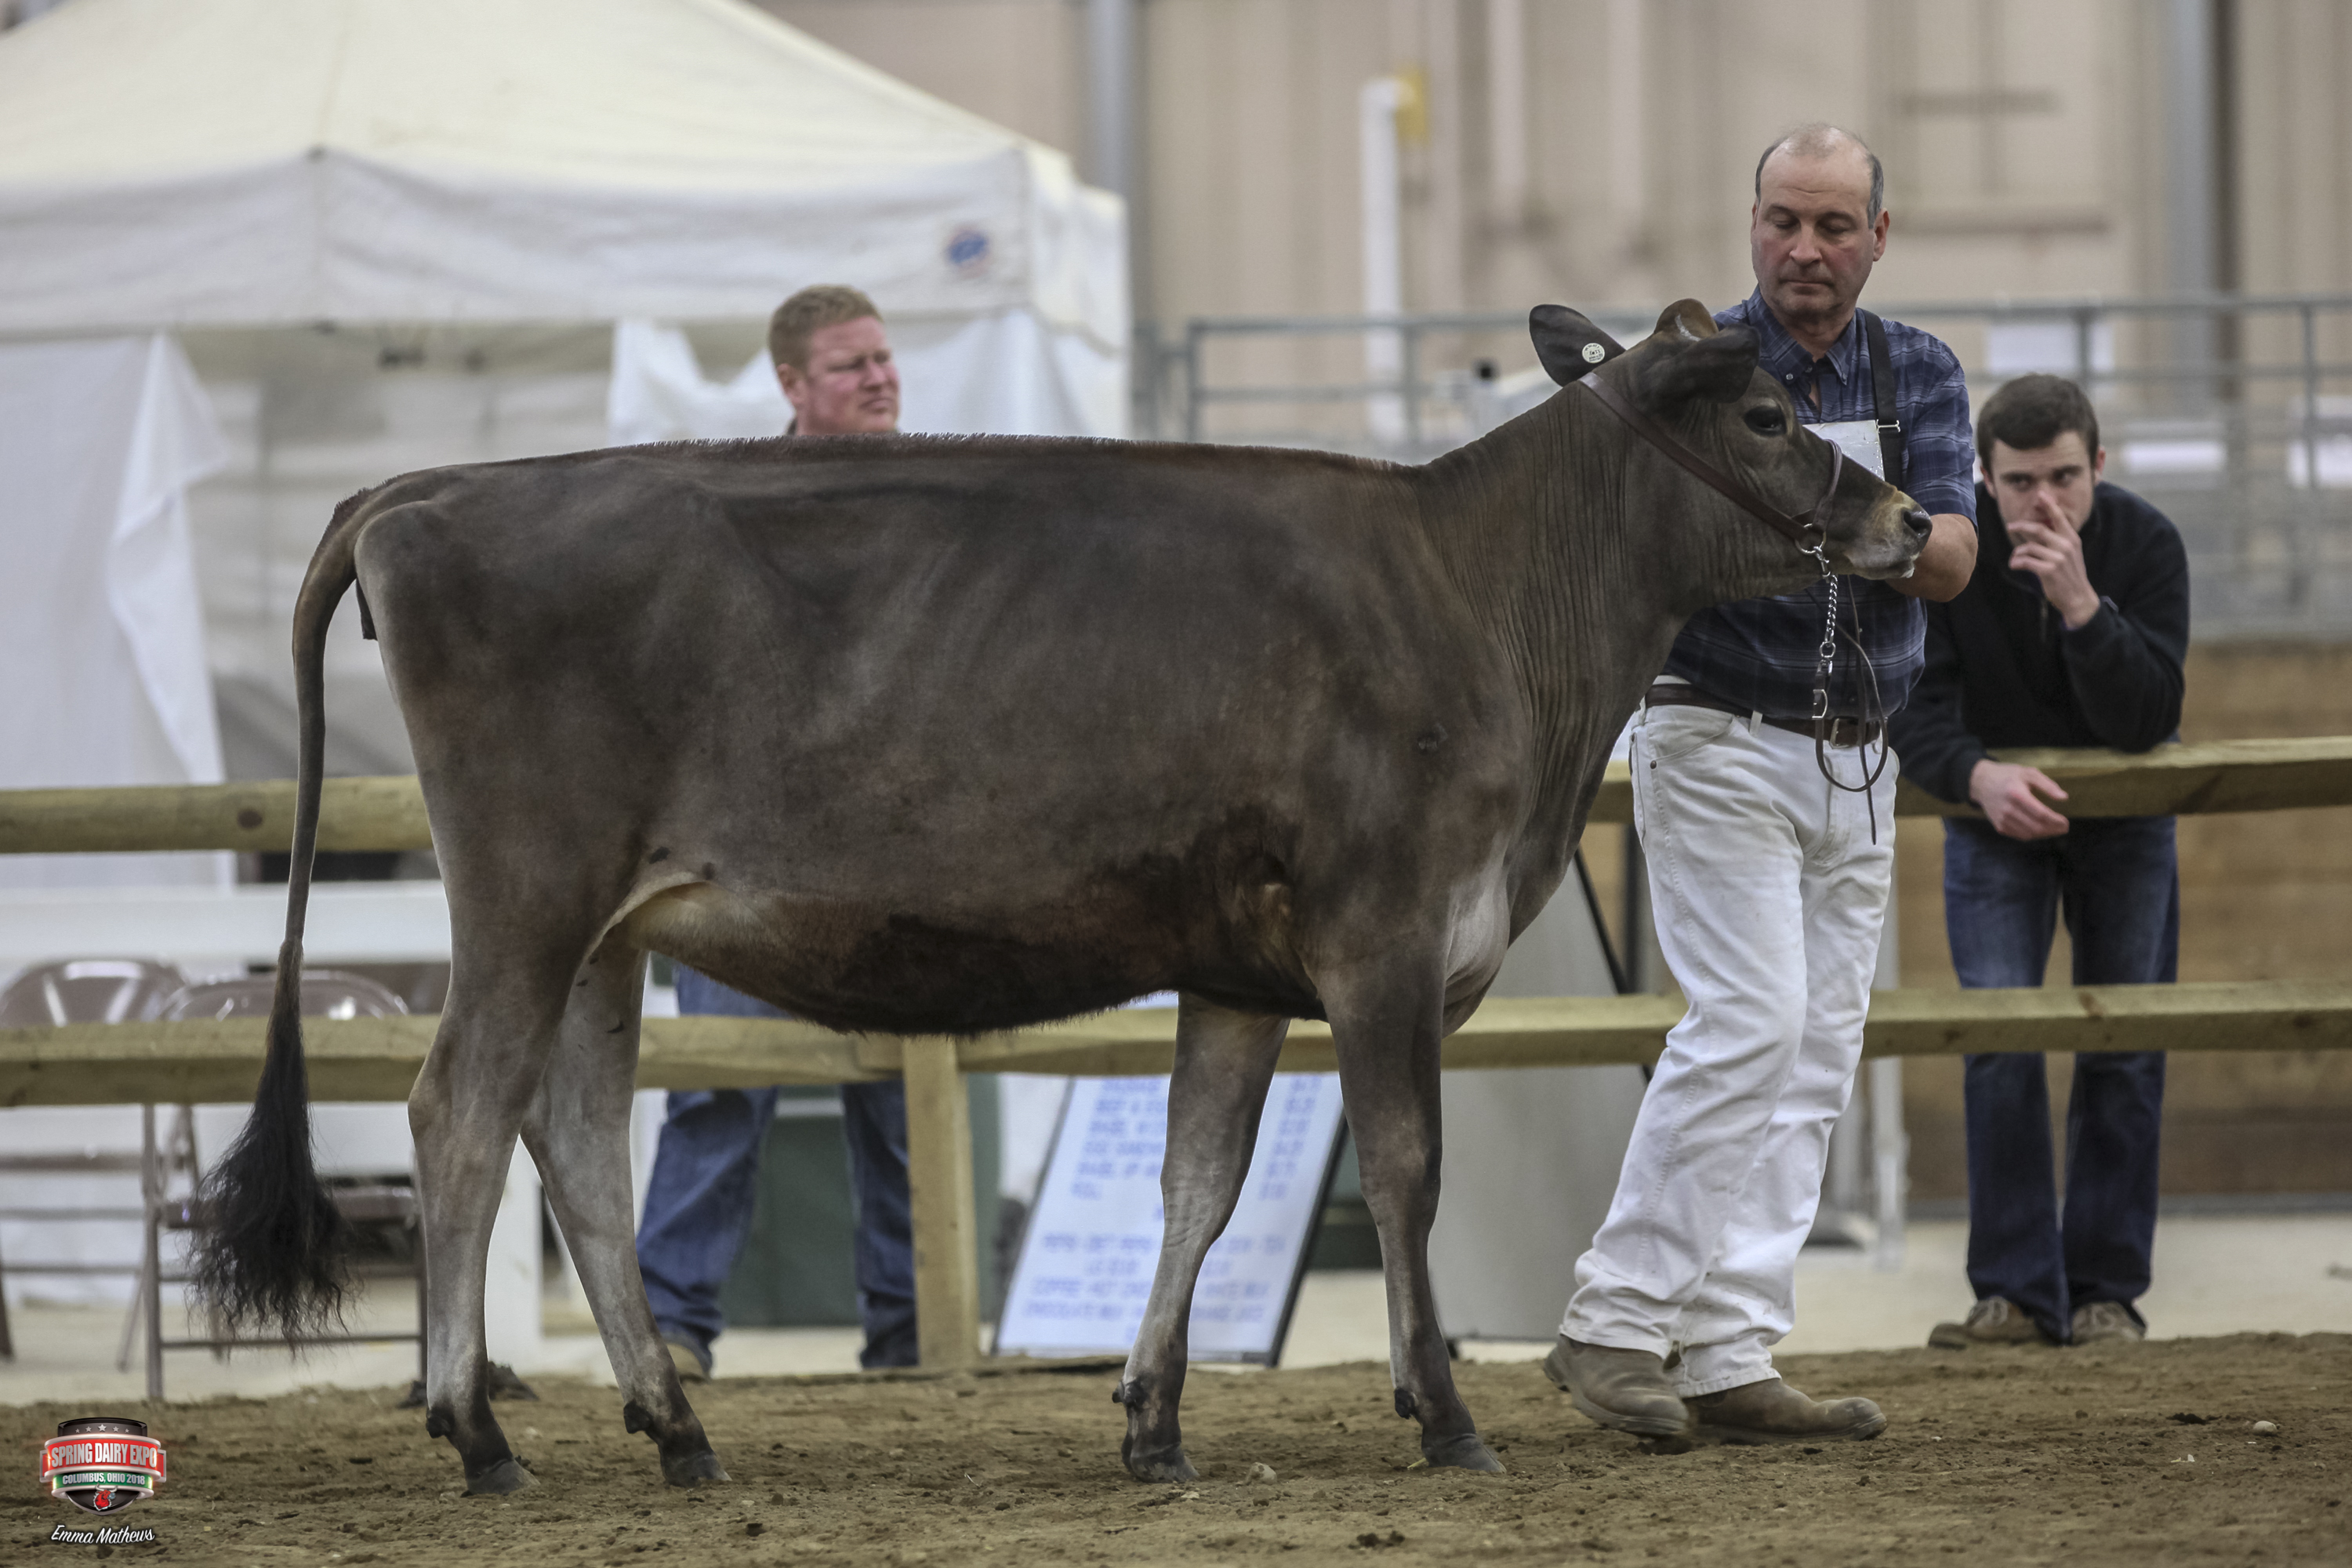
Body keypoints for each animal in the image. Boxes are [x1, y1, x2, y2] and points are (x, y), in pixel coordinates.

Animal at [192, 300, 1929, 1497]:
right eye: (1765, 412)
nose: (1910, 518)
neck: (1480, 598)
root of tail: (426, 489)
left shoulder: (1239, 966)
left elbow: (1200, 1186)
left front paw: (1154, 1420)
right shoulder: (1382, 936)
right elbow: (1408, 1170)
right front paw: (1442, 1413)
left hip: (608, 928)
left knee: (578, 1144)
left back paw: (674, 1427)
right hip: (527, 890)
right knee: (457, 1116)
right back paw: (477, 1432)